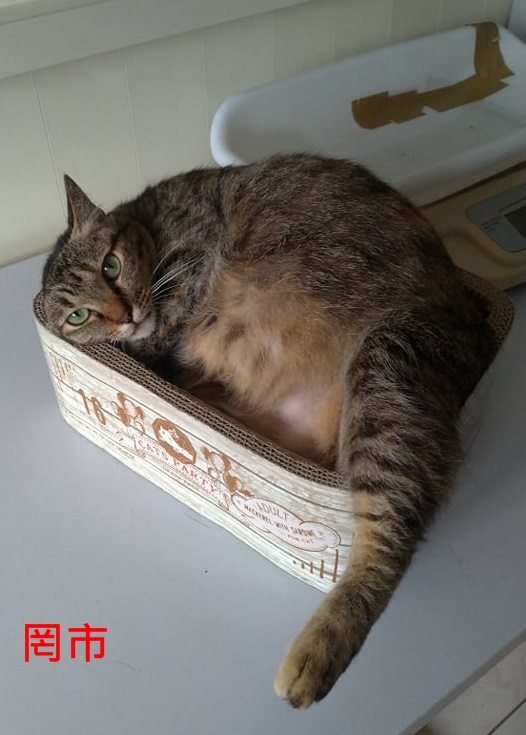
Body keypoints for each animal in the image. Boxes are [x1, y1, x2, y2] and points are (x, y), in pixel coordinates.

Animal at [41, 154, 496, 708]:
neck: (151, 221)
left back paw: (317, 649)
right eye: (79, 315)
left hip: (388, 366)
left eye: (110, 265)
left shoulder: (191, 265)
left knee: (390, 541)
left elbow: (165, 326)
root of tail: (479, 333)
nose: (124, 315)